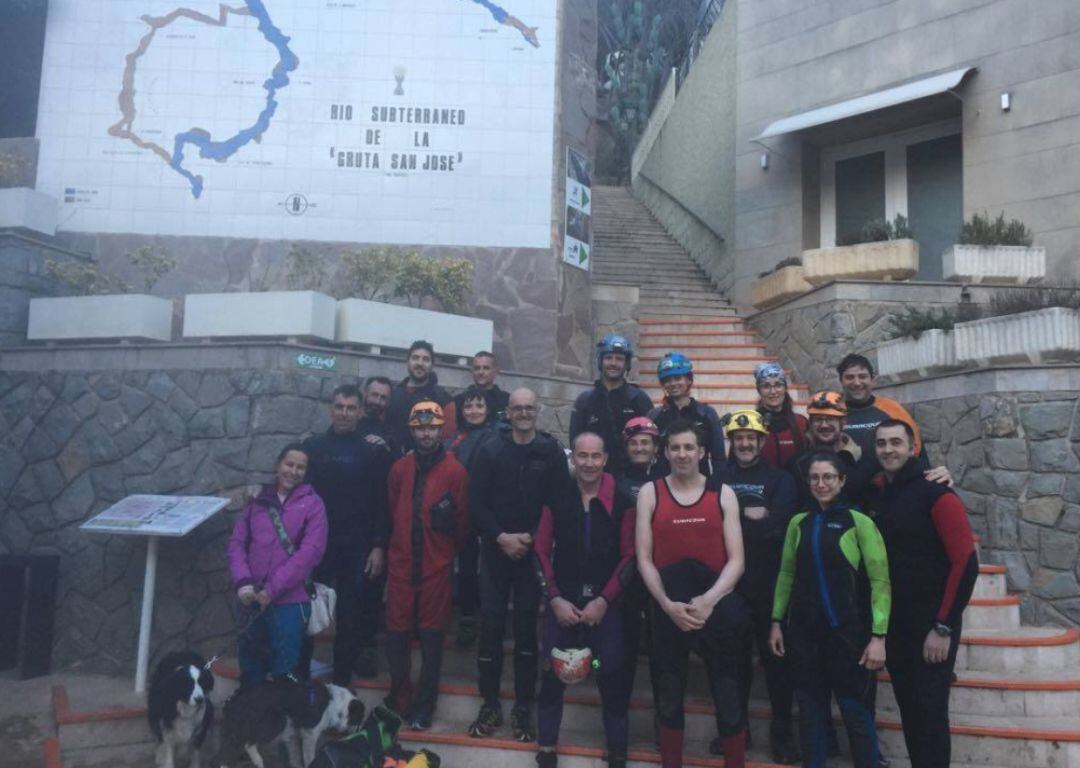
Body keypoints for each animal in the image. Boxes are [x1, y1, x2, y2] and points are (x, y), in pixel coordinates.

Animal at [216, 678, 367, 768]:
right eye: (359, 719)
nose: (360, 732)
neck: (335, 704)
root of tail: (235, 699)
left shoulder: (292, 735)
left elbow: (295, 756)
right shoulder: (310, 733)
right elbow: (308, 756)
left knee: (227, 752)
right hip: (278, 720)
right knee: (248, 744)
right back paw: (258, 761)